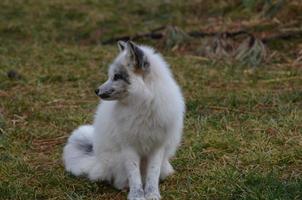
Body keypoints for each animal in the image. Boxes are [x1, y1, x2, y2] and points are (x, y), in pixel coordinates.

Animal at [62, 40, 185, 200]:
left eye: (117, 76)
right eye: (110, 75)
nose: (96, 91)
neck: (142, 107)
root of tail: (96, 160)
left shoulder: (157, 147)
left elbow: (153, 174)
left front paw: (152, 194)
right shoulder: (128, 147)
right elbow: (134, 175)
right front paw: (137, 196)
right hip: (116, 160)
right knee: (119, 180)